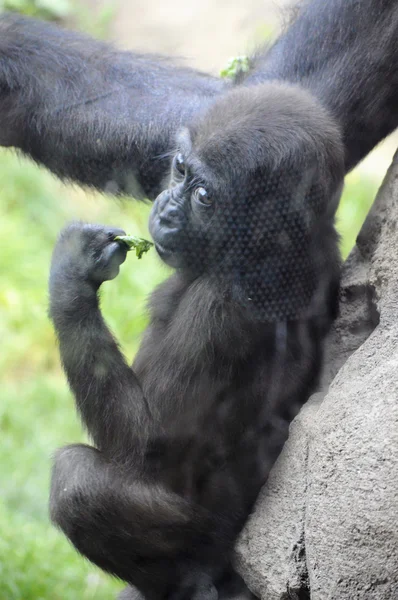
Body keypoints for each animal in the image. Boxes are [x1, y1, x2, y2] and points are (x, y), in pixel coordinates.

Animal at [49, 83, 342, 600]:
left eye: (203, 196)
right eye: (180, 169)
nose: (166, 208)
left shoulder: (221, 304)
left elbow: (155, 448)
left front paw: (72, 278)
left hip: (218, 543)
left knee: (75, 481)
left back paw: (190, 584)